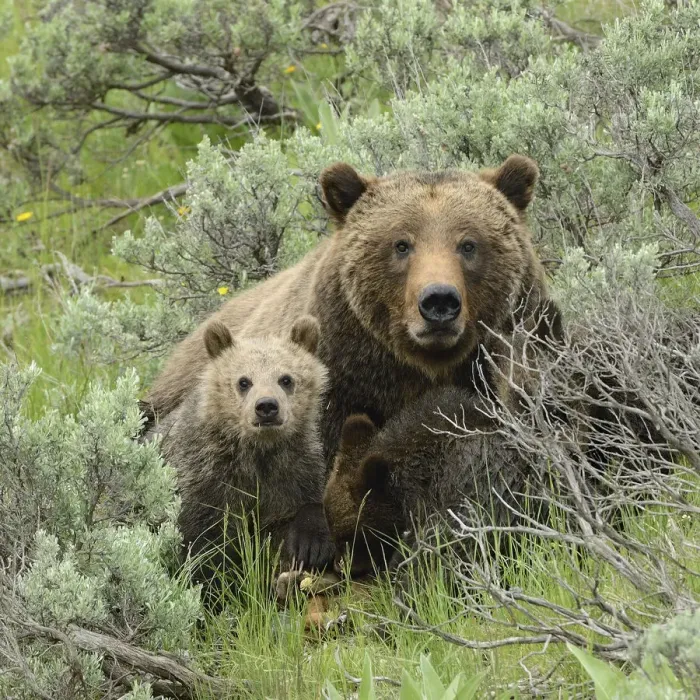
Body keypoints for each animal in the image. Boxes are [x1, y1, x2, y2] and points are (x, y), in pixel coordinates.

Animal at [153, 315, 335, 603]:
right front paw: (218, 593)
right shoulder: (206, 477)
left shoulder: (294, 470)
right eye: (243, 381)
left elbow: (297, 516)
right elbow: (206, 547)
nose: (267, 406)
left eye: (286, 379)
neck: (257, 453)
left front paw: (310, 547)